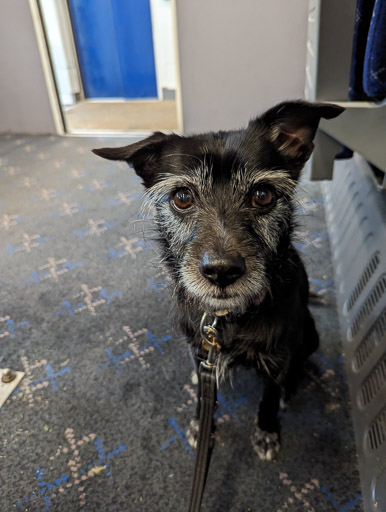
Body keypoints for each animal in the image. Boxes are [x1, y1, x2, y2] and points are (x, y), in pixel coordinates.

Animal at [93, 99, 344, 460]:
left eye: (263, 194)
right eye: (182, 197)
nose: (221, 271)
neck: (226, 320)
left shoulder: (278, 356)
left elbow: (268, 397)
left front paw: (267, 431)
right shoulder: (201, 350)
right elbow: (204, 395)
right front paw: (203, 424)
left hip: (310, 334)